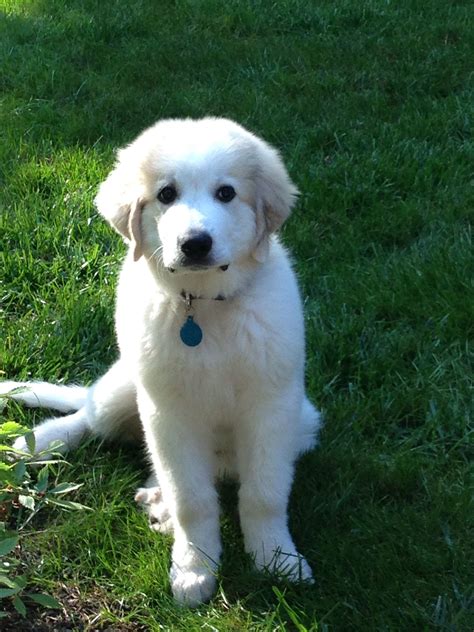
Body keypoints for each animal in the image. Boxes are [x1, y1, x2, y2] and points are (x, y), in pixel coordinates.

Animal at [2, 118, 322, 608]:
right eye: (166, 194)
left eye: (226, 193)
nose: (194, 244)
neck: (202, 307)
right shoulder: (167, 412)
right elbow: (193, 499)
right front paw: (194, 569)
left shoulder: (271, 408)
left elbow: (264, 495)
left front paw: (276, 559)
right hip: (125, 387)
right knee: (89, 417)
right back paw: (38, 444)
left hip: (302, 423)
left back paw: (157, 502)